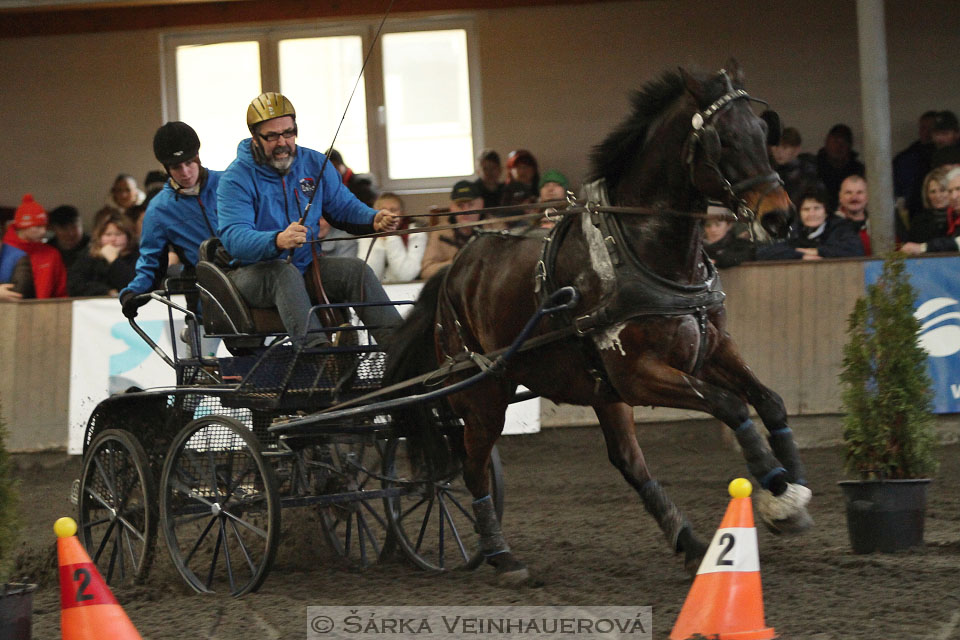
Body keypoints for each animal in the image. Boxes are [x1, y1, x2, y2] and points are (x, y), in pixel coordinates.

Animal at [382, 58, 808, 580]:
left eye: (762, 132)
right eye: (722, 140)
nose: (780, 218)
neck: (643, 251)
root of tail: (452, 271)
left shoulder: (711, 350)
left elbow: (769, 401)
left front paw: (791, 489)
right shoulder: (638, 374)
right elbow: (730, 405)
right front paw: (773, 483)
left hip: (599, 392)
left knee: (627, 461)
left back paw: (688, 542)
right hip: (485, 394)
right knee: (472, 465)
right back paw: (502, 556)